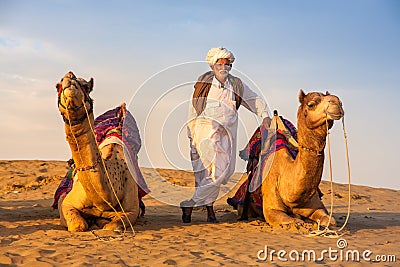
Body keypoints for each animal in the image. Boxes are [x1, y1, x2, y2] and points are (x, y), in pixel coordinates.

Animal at [54, 71, 139, 232]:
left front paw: (100, 222)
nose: (69, 77)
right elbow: (78, 225)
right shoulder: (66, 203)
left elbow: (112, 226)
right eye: (57, 86)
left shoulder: (132, 210)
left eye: (86, 86)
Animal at [262, 89, 344, 226]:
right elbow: (294, 221)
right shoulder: (271, 210)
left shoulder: (317, 207)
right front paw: (298, 219)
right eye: (311, 104)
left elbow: (330, 220)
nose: (337, 102)